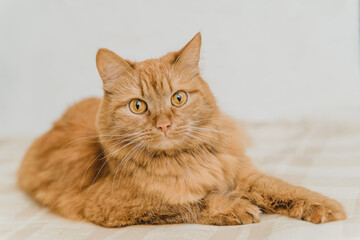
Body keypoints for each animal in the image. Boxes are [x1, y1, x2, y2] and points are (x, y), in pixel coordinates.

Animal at [17, 33, 346, 227]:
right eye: (138, 106)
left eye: (178, 98)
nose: (164, 124)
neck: (185, 159)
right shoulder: (115, 206)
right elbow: (193, 202)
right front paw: (235, 207)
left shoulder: (241, 173)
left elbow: (282, 187)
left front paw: (324, 205)